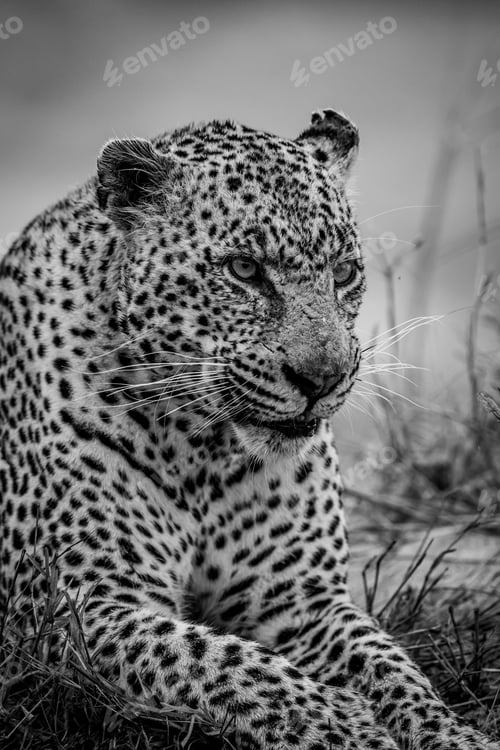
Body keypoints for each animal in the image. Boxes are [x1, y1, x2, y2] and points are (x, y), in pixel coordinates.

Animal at [0, 109, 497, 749]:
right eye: (244, 269)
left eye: (344, 273)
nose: (322, 377)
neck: (201, 449)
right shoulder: (76, 606)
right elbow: (221, 660)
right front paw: (347, 726)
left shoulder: (301, 601)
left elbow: (394, 668)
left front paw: (455, 735)